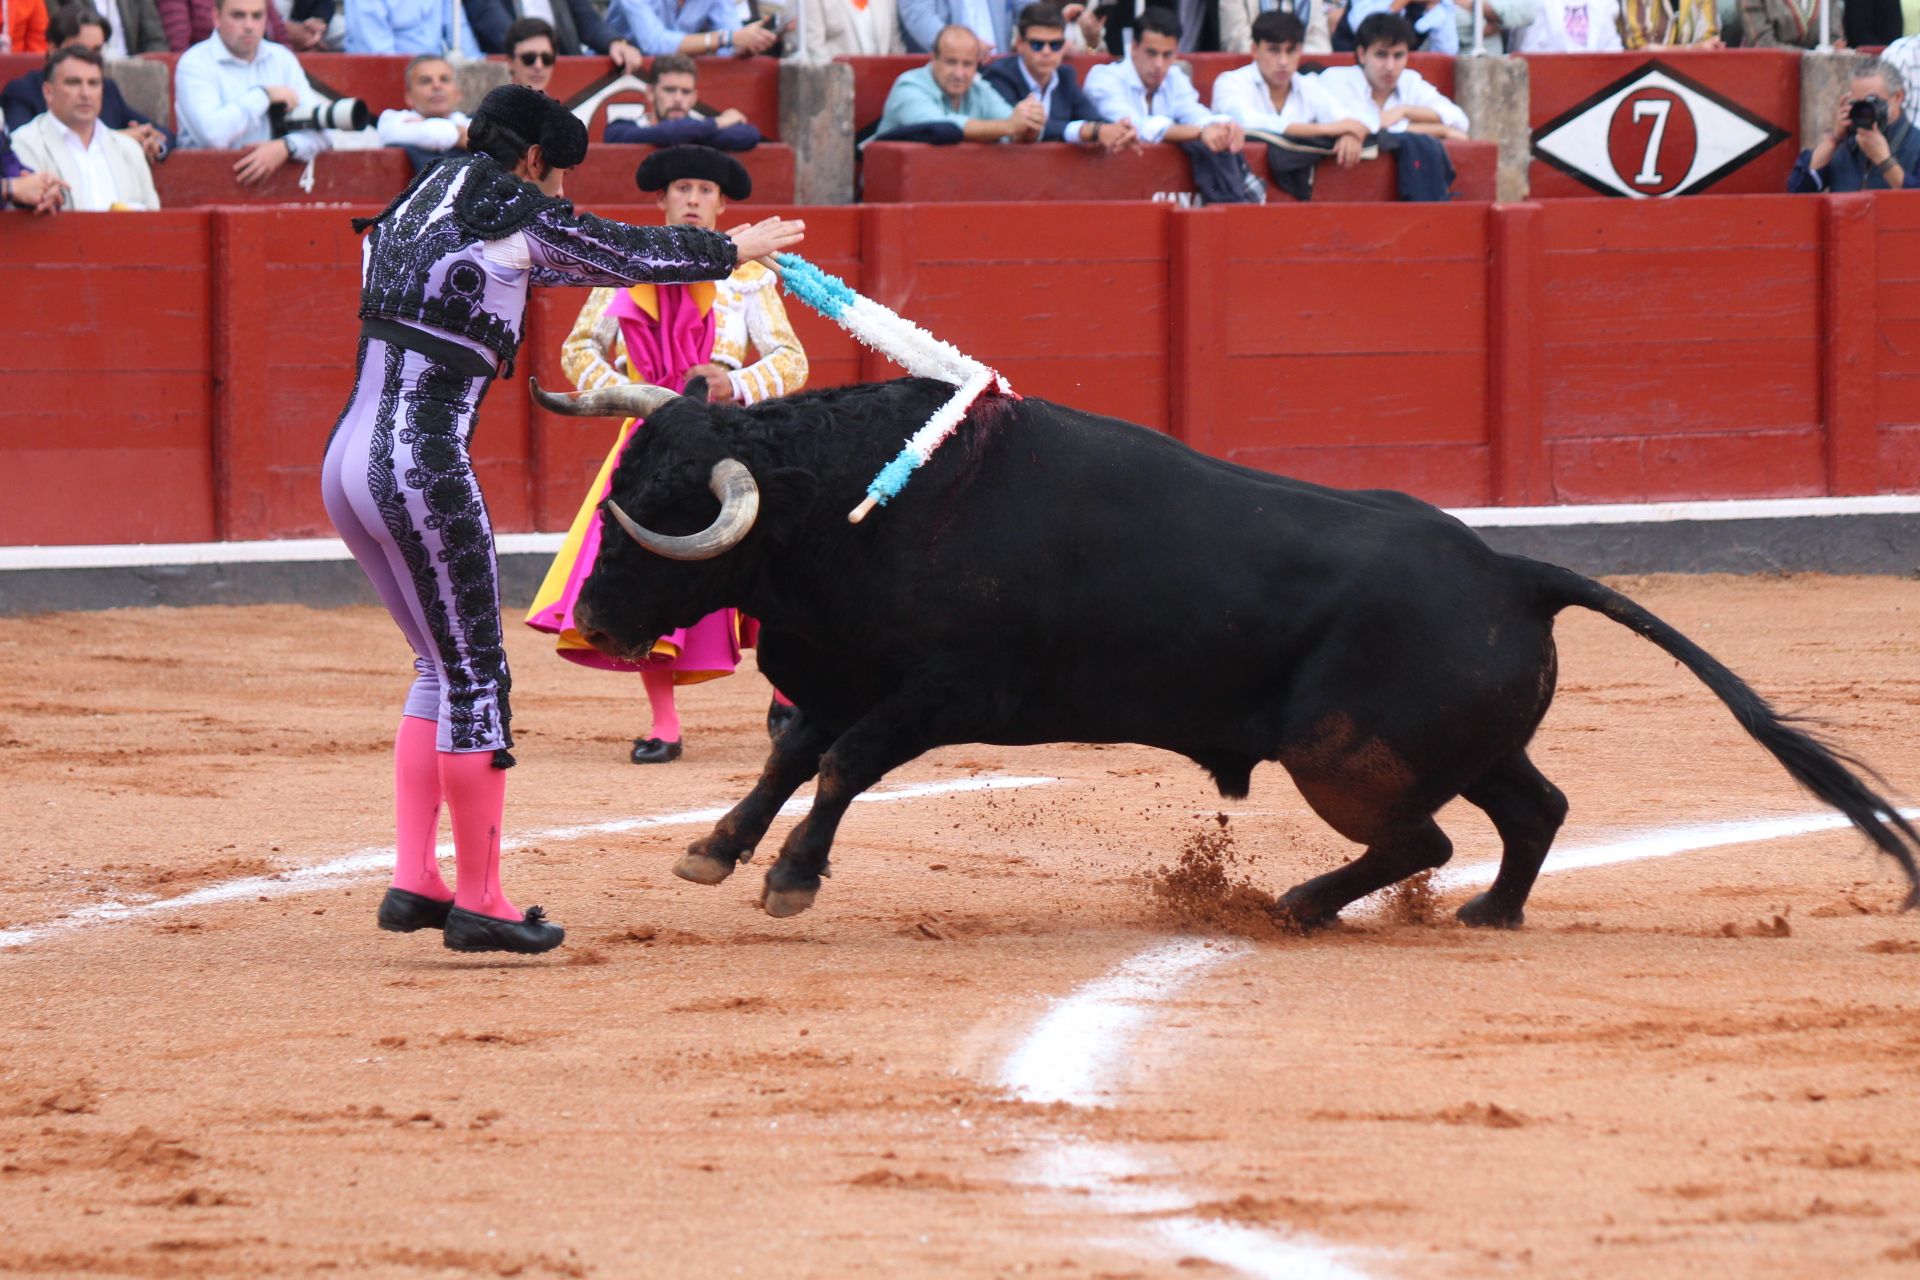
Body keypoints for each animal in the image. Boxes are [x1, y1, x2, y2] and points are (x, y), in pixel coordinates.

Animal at [545, 376, 1920, 924]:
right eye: (623, 488)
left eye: (664, 517)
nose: (595, 623)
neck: (855, 503)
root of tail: (1511, 569)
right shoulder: (843, 676)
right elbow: (791, 757)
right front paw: (715, 852)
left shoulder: (938, 692)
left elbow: (838, 767)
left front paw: (791, 876)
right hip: (1446, 742)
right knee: (1532, 809)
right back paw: (1490, 912)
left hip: (1341, 753)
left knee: (1421, 840)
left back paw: (1300, 902)